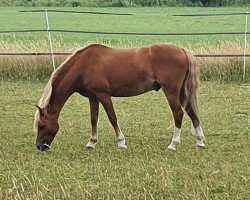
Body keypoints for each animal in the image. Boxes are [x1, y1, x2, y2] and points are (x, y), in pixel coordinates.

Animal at [33, 43, 205, 151]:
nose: (40, 146)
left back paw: (173, 144)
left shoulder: (103, 95)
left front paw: (121, 143)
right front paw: (91, 143)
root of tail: (182, 50)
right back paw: (200, 141)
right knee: (191, 112)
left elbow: (112, 118)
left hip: (171, 92)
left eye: (41, 126)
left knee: (178, 114)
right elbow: (93, 119)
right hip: (182, 92)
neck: (84, 65)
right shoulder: (93, 97)